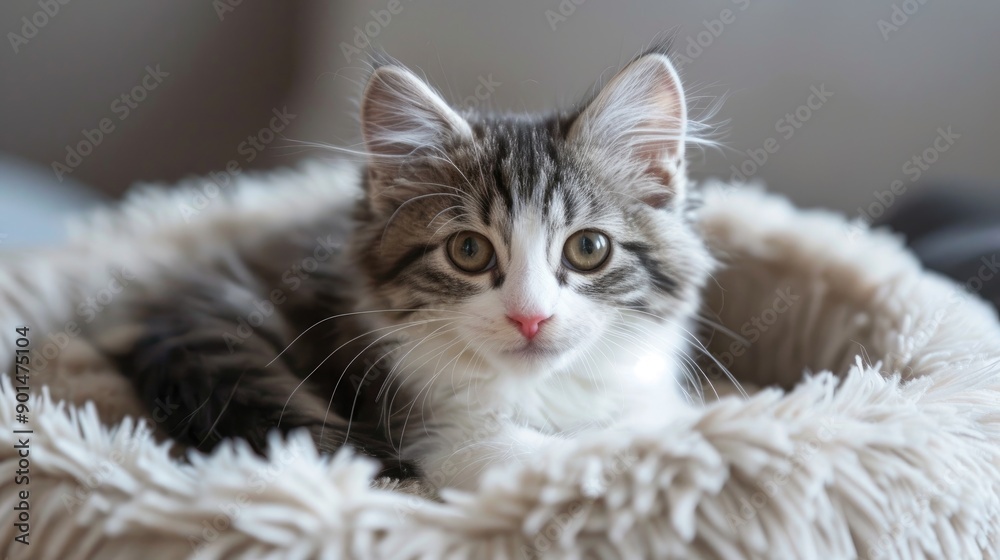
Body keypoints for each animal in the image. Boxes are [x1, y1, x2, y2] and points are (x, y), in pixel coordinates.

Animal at [99, 44, 712, 490]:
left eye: (588, 249)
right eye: (469, 252)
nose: (530, 318)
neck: (546, 389)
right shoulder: (441, 431)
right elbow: (570, 454)